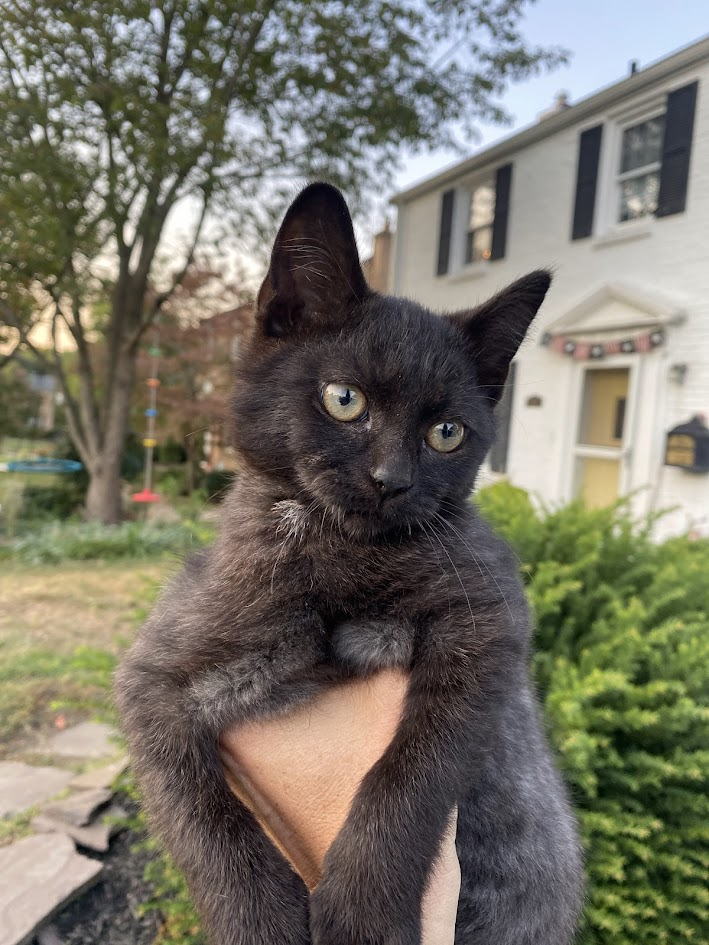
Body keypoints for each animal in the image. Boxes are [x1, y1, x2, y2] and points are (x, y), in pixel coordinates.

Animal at [115, 181, 580, 940]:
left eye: (445, 432)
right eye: (344, 398)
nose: (391, 479)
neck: (339, 552)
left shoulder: (488, 617)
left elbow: (413, 766)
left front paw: (364, 905)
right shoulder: (151, 674)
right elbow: (196, 809)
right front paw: (256, 918)